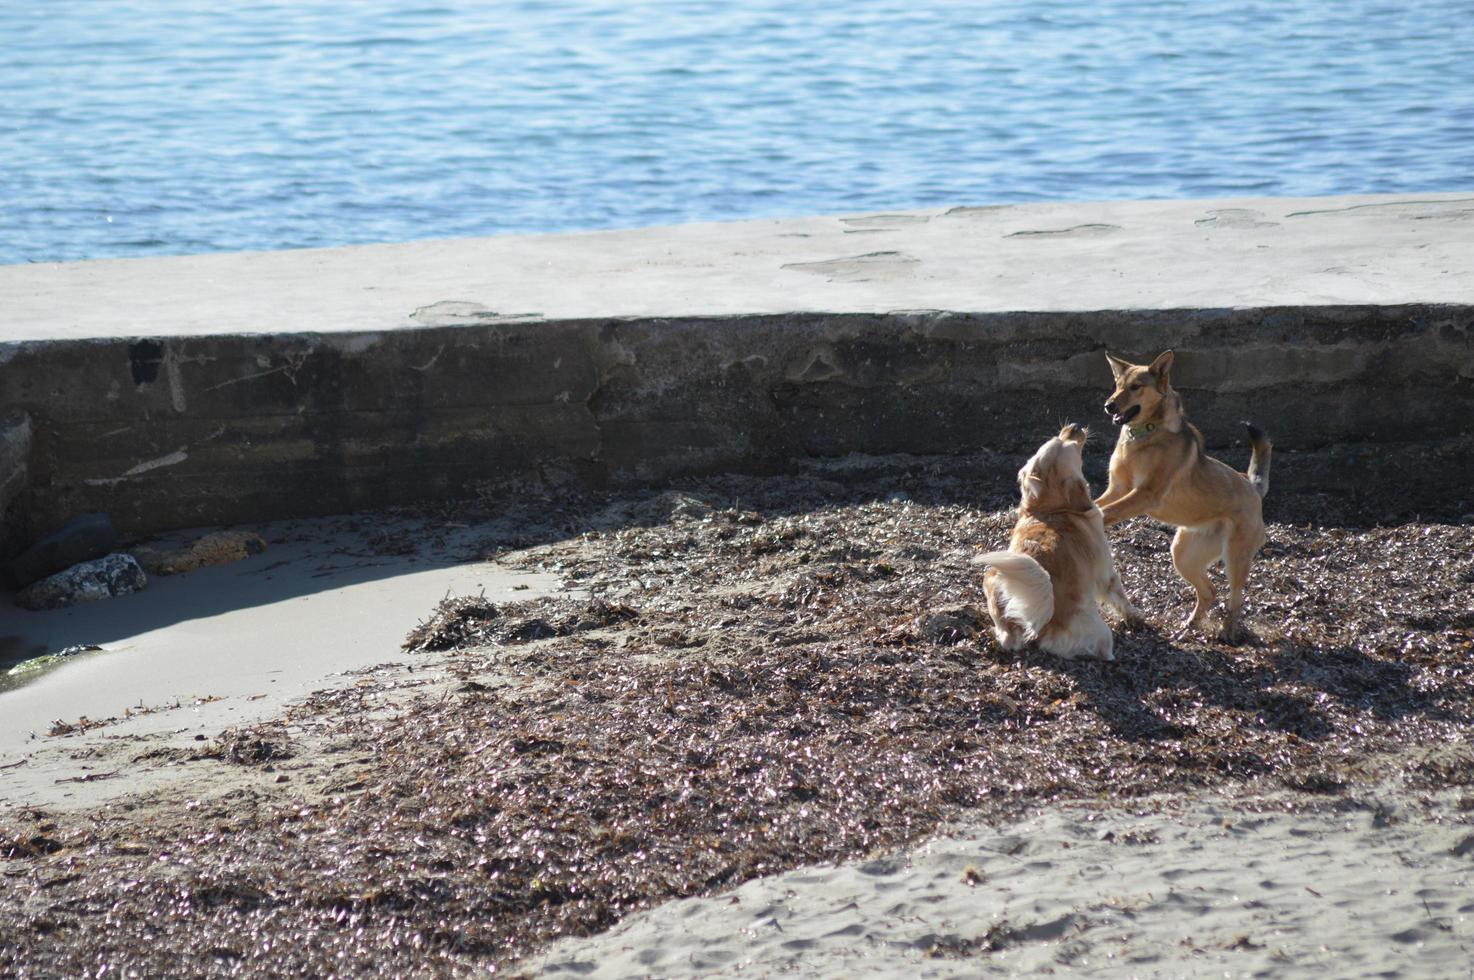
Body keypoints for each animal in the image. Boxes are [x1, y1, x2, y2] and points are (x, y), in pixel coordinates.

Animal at [978, 424, 1137, 660]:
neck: (1051, 509)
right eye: (1069, 444)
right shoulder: (1107, 574)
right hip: (1100, 630)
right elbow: (1121, 598)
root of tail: (1042, 622)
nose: (1074, 427)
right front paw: (1136, 617)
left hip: (992, 577)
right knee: (1104, 649)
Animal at [1090, 352, 1273, 642]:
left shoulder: (1144, 494)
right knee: (1209, 591)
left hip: (1235, 557)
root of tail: (1252, 487)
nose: (1109, 406)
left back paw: (1226, 632)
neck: (1143, 434)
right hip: (1183, 554)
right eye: (1117, 385)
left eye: (1136, 387)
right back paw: (1188, 626)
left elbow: (1109, 511)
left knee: (1235, 599)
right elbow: (1100, 504)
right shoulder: (1117, 489)